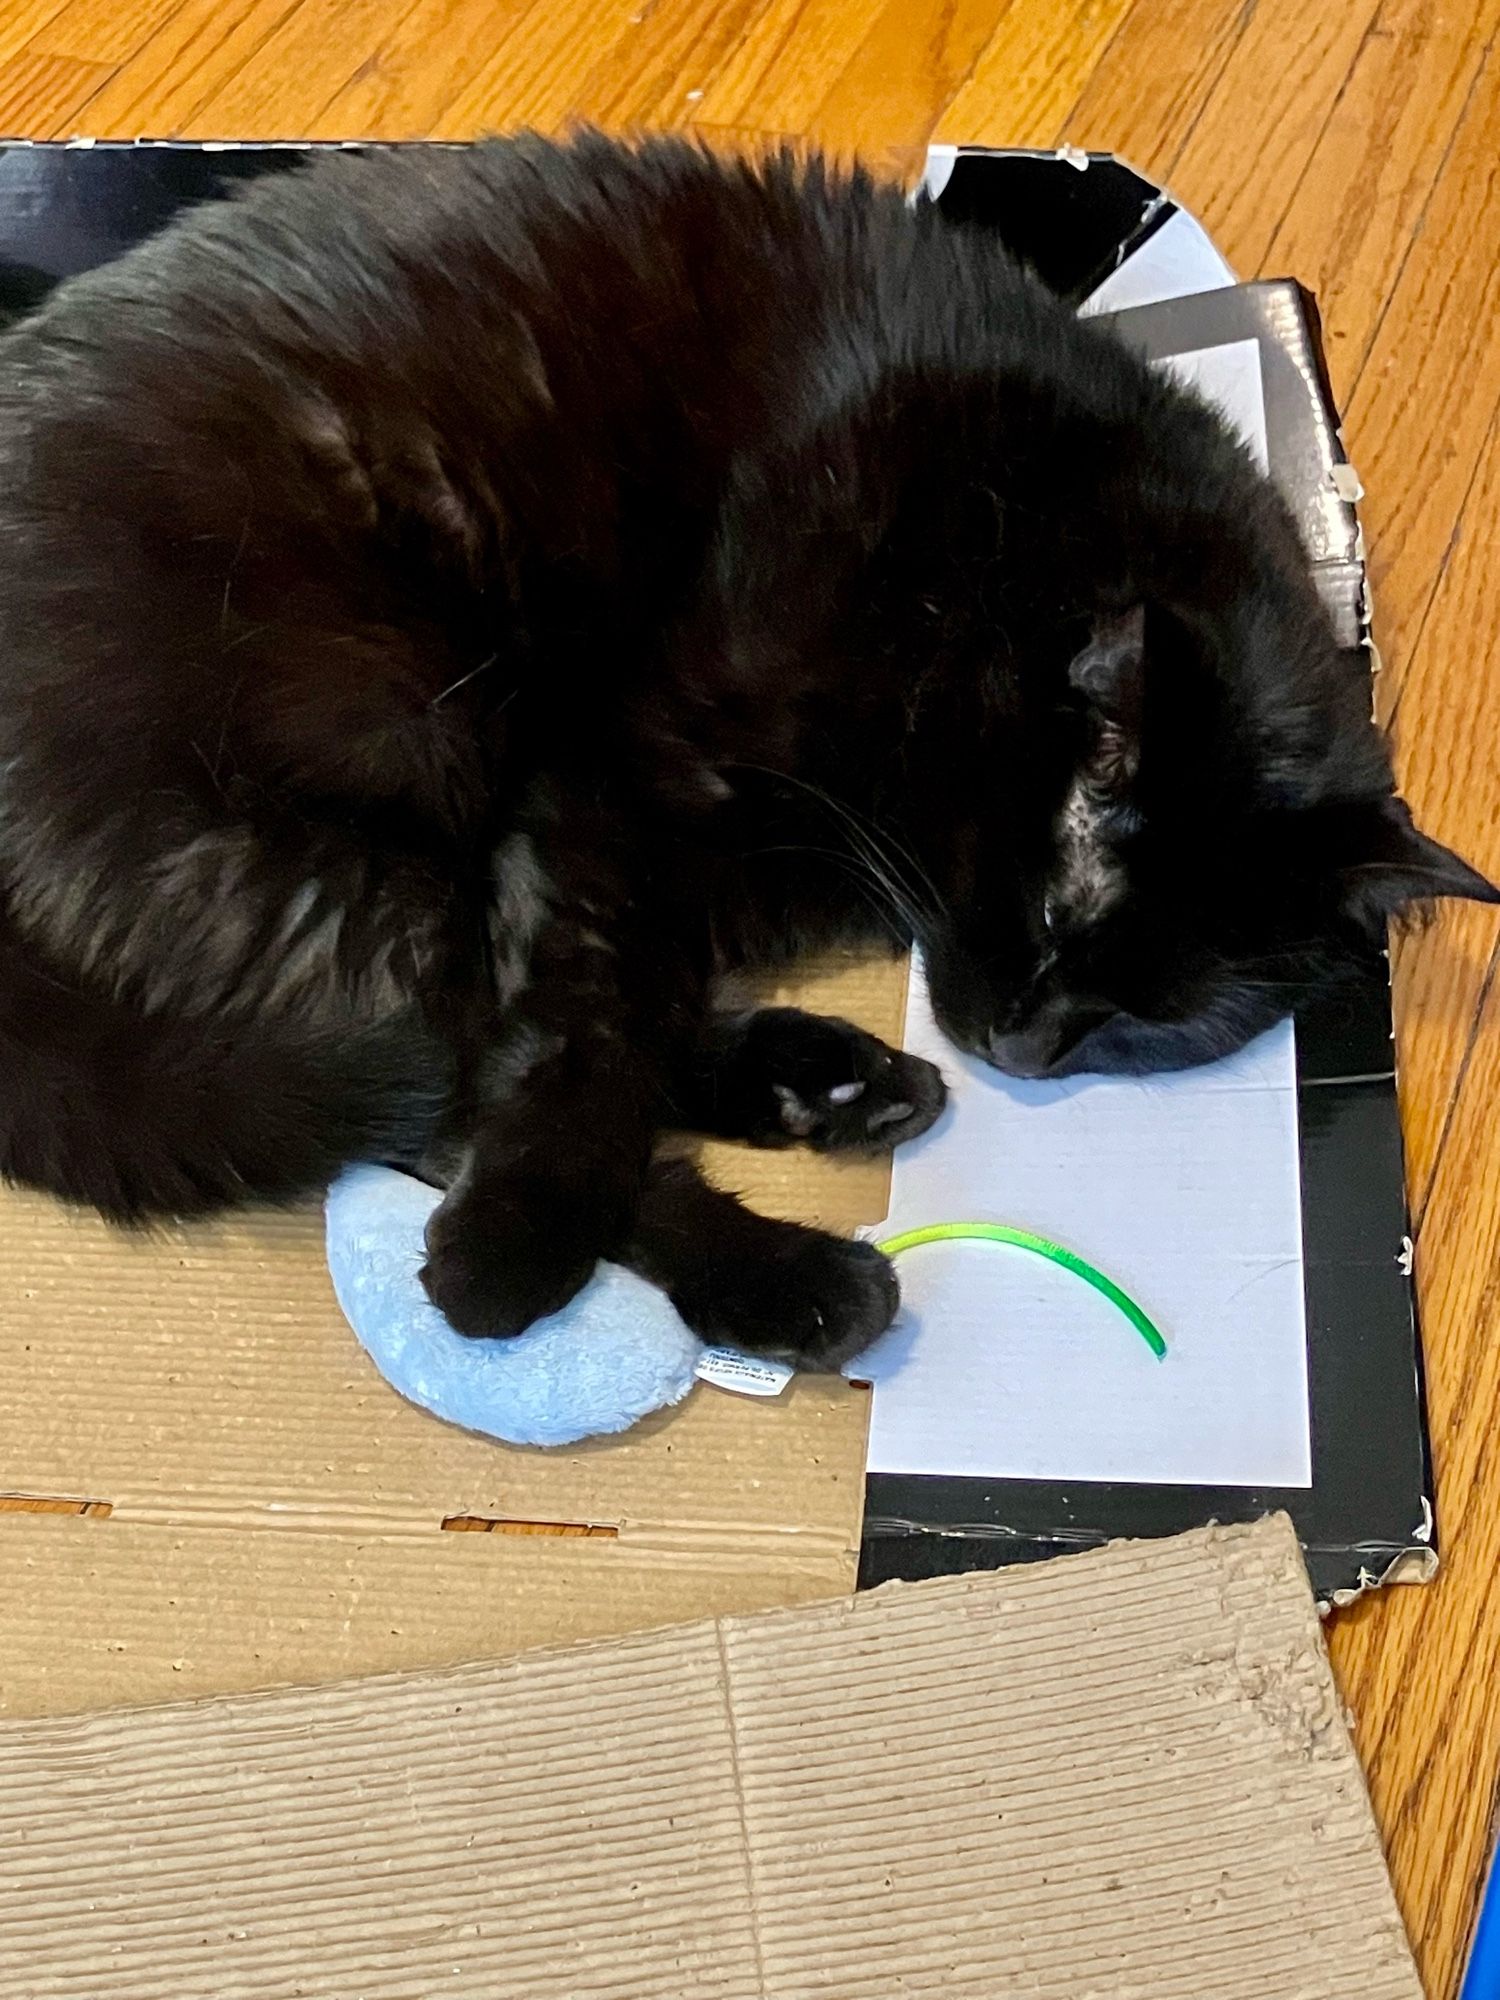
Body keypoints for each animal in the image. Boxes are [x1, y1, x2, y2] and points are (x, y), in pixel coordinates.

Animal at [0, 133, 1496, 1368]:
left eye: (1162, 1018)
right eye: (1056, 913)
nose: (1025, 1044)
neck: (998, 547)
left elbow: (602, 1009)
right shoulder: (619, 774)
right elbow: (578, 1032)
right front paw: (512, 1251)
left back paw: (836, 1089)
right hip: (358, 798)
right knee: (439, 1078)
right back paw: (764, 1271)